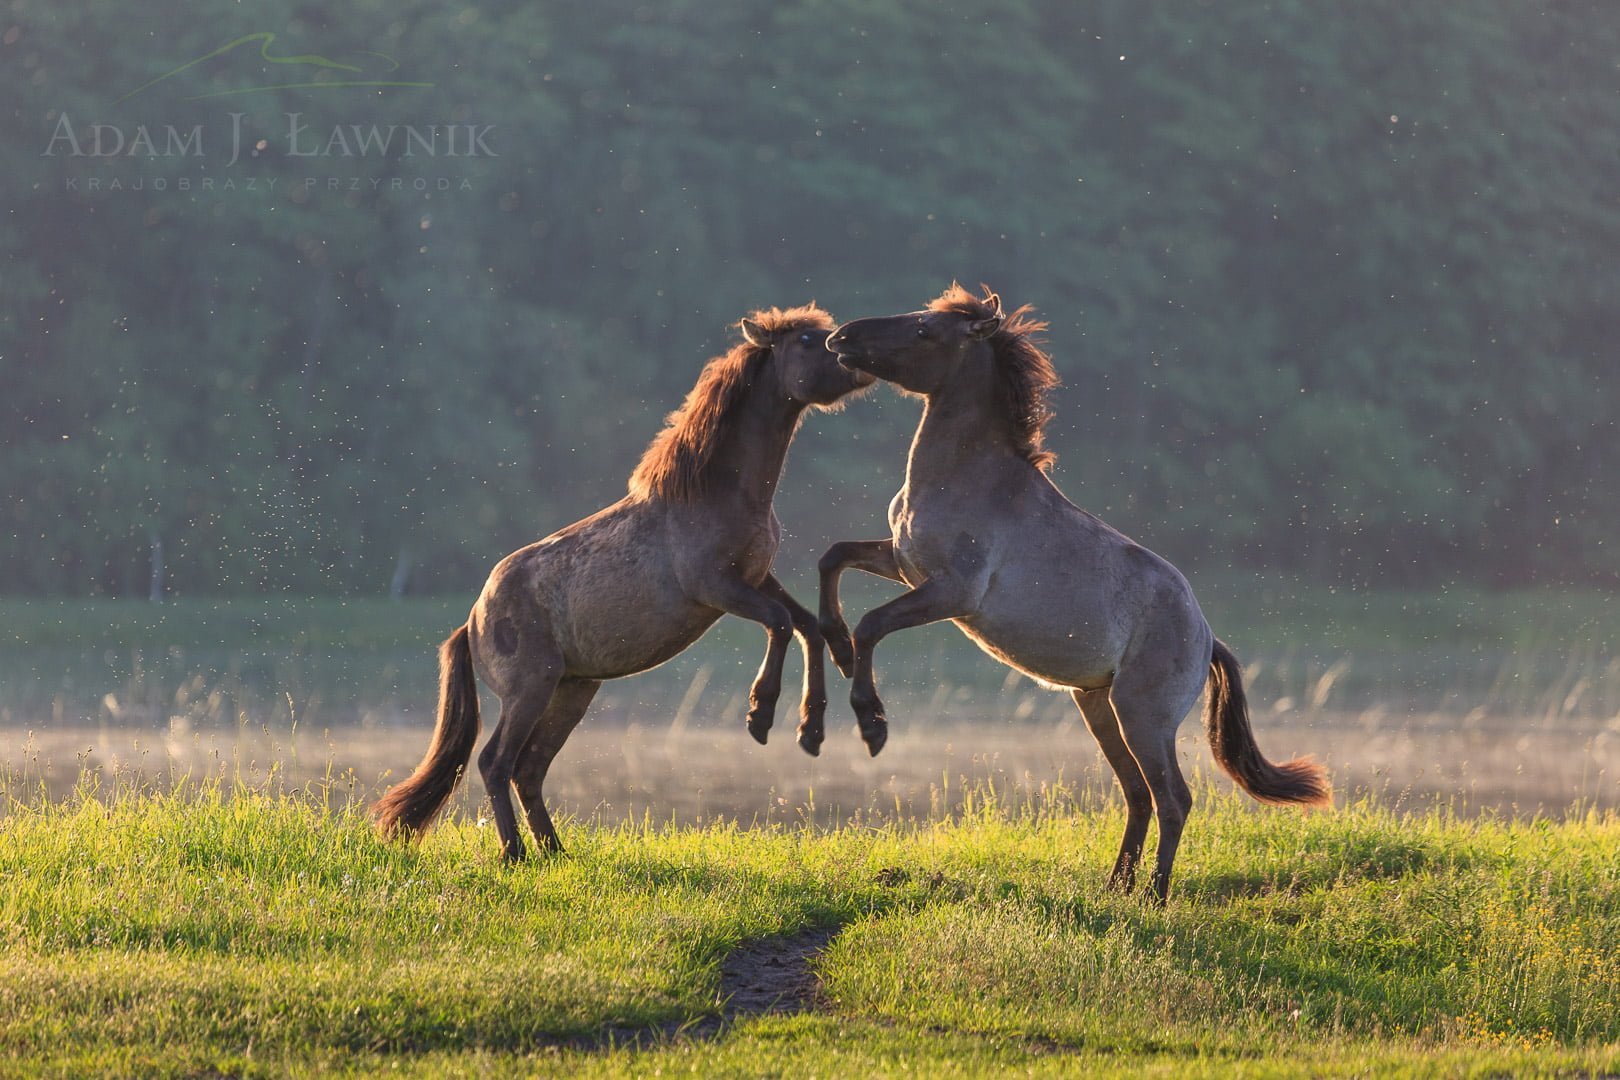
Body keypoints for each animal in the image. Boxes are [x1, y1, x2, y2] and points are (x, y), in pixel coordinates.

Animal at [374, 306, 874, 861]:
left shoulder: (757, 576)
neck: (717, 493)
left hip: (571, 691)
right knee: (494, 762)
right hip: (530, 690)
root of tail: (472, 623)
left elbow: (805, 625)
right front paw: (760, 714)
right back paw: (515, 854)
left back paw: (554, 852)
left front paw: (814, 725)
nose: (855, 356)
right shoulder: (717, 588)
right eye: (807, 340)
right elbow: (783, 623)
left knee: (529, 769)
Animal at [822, 283, 1328, 900]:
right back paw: (1116, 888)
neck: (964, 480)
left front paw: (871, 724)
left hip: (1143, 718)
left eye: (925, 330)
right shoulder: (904, 565)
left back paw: (1154, 897)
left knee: (1173, 798)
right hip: (1099, 709)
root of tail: (1208, 638)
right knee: (1137, 794)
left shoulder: (952, 592)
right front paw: (834, 650)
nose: (840, 337)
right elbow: (833, 558)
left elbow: (871, 623)